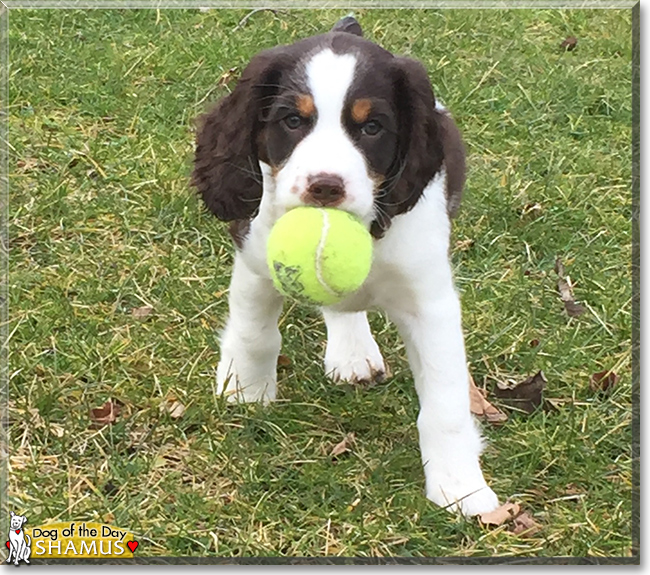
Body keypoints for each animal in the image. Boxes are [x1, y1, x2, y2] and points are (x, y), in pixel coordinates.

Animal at [190, 15, 498, 516]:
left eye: (372, 127)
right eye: (292, 120)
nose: (325, 186)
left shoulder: (430, 301)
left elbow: (445, 402)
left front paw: (460, 487)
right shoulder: (255, 260)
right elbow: (255, 335)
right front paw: (247, 392)